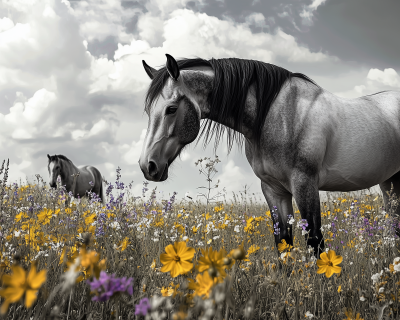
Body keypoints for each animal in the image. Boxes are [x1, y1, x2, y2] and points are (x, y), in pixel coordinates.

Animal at [138, 54, 400, 255]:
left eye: (171, 109)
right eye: (148, 111)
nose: (147, 166)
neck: (278, 115)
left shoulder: (305, 184)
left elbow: (314, 241)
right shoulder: (273, 189)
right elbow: (283, 241)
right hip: (390, 182)